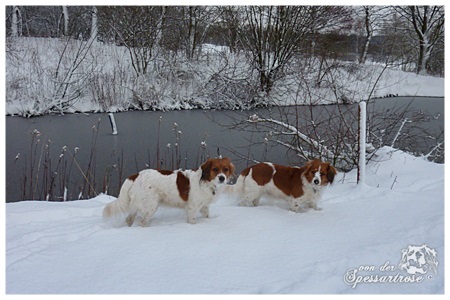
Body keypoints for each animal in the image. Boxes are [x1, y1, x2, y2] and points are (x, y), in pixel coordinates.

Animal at [102, 158, 236, 226]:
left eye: (225, 169)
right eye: (215, 169)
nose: (222, 178)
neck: (206, 181)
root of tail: (136, 175)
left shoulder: (204, 206)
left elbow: (207, 216)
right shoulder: (192, 207)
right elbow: (192, 221)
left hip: (137, 204)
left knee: (129, 219)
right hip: (150, 205)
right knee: (142, 222)